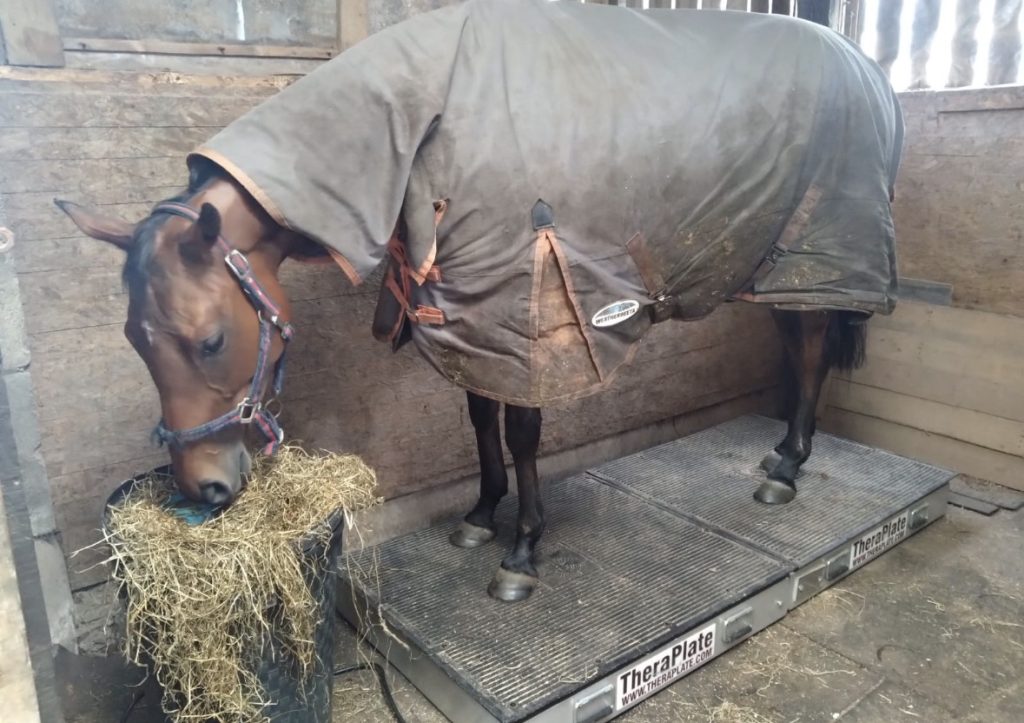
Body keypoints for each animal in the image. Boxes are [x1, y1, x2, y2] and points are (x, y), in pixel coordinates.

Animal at [55, 0, 903, 602]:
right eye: (134, 338)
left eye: (208, 340)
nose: (202, 487)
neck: (429, 116)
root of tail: (868, 69)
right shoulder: (470, 315)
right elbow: (479, 419)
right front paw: (479, 516)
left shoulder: (529, 318)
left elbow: (522, 432)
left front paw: (522, 549)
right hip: (782, 262)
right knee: (801, 344)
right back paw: (784, 453)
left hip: (821, 248)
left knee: (813, 347)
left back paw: (787, 468)